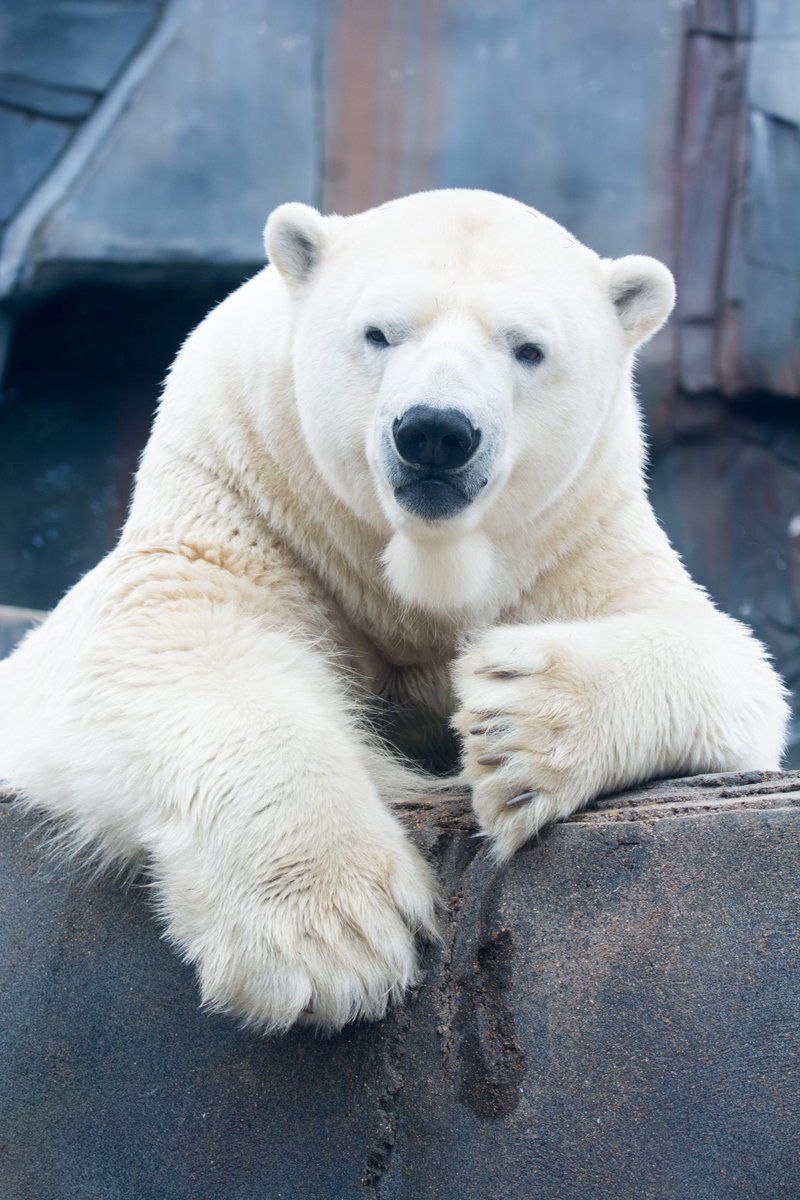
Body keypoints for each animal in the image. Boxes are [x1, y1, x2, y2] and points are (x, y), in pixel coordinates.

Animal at [0, 187, 786, 1032]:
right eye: (379, 332)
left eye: (528, 349)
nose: (436, 432)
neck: (418, 566)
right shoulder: (249, 488)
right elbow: (167, 638)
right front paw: (330, 937)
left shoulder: (576, 533)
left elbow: (724, 656)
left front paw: (514, 727)